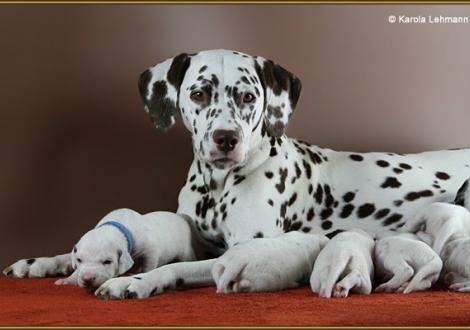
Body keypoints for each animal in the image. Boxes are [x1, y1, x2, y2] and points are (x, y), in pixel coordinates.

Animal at [5, 49, 470, 300]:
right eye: (198, 93)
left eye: (248, 97)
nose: (226, 138)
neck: (217, 185)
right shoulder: (193, 238)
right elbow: (78, 249)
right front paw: (42, 261)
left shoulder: (231, 250)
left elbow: (172, 267)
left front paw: (135, 280)